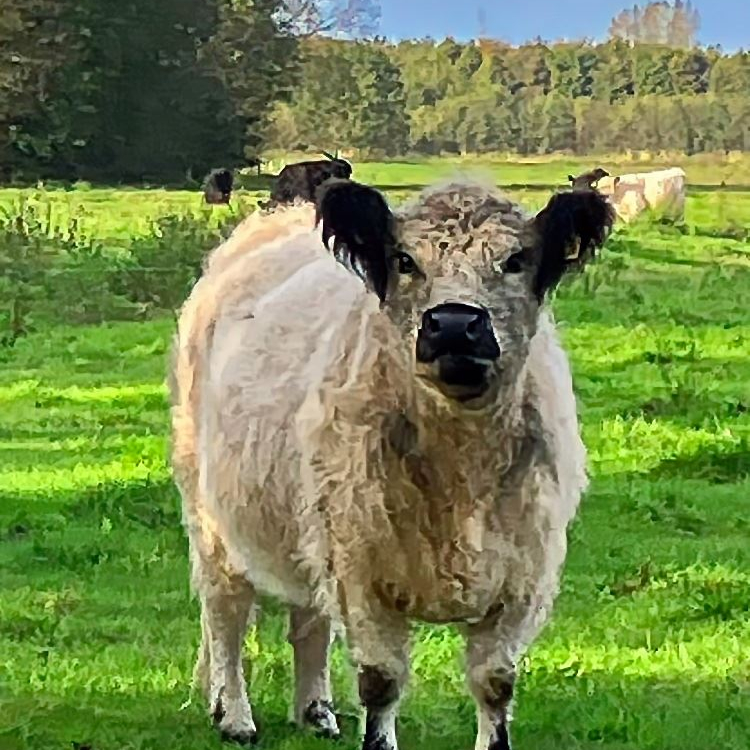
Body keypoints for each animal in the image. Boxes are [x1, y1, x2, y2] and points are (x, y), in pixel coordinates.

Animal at [169, 178, 616, 750]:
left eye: (516, 260)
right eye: (405, 260)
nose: (455, 324)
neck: (459, 471)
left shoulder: (523, 575)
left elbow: (495, 683)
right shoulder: (362, 571)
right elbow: (381, 681)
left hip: (307, 522)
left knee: (308, 617)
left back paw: (315, 711)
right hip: (211, 517)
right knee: (226, 612)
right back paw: (234, 715)